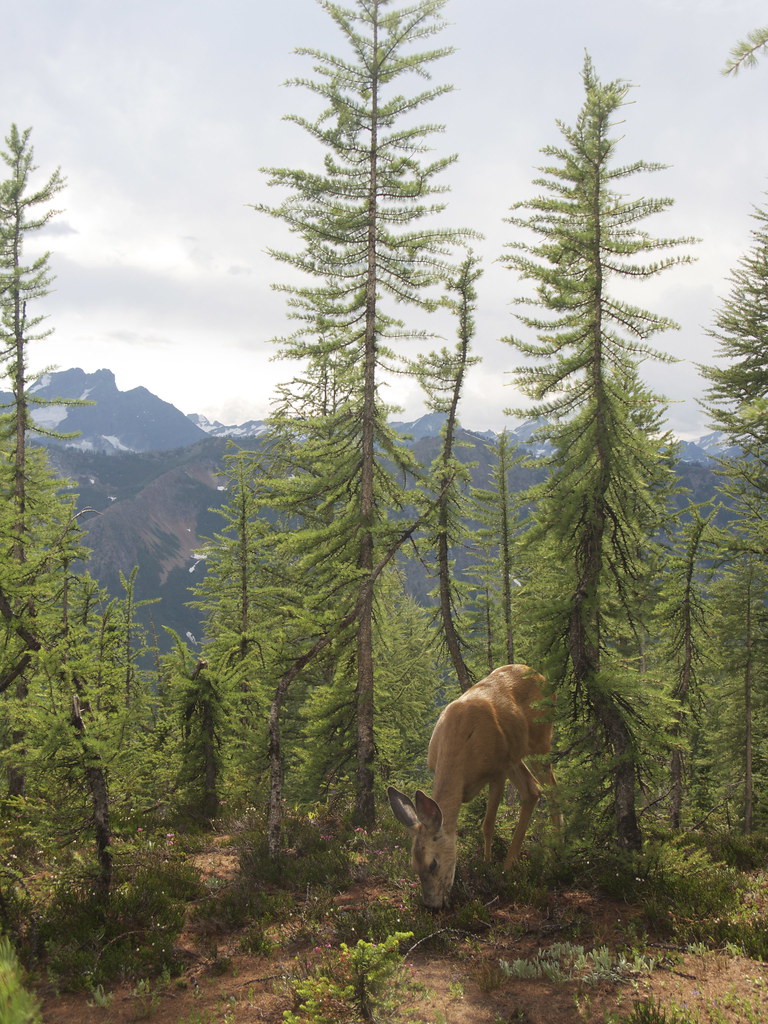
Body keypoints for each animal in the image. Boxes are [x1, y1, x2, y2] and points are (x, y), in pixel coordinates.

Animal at [388, 664, 560, 909]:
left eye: (433, 864)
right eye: (413, 865)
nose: (432, 906)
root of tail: (539, 674)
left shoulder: (496, 771)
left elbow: (487, 824)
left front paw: (486, 866)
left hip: (539, 741)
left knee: (552, 789)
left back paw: (554, 852)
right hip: (514, 755)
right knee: (532, 790)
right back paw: (512, 862)